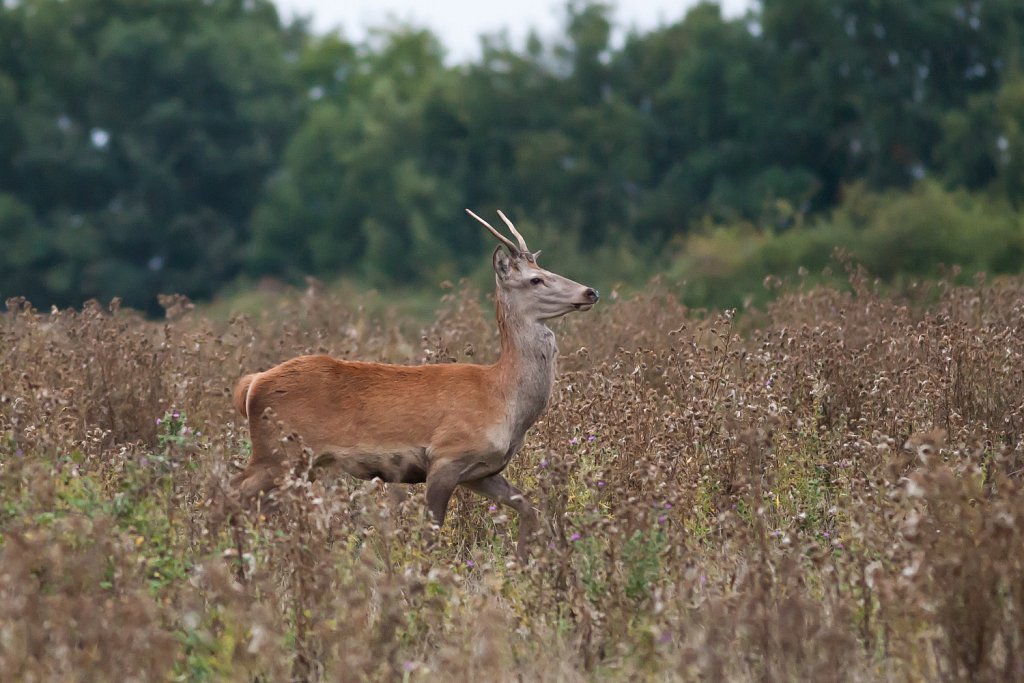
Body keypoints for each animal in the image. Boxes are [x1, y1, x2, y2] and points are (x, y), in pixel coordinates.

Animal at [230, 210, 598, 557]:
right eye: (536, 279)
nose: (590, 291)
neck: (503, 398)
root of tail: (251, 383)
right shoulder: (447, 455)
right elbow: (431, 533)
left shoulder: (481, 470)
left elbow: (529, 507)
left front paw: (522, 563)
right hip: (278, 452)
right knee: (233, 495)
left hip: (300, 464)